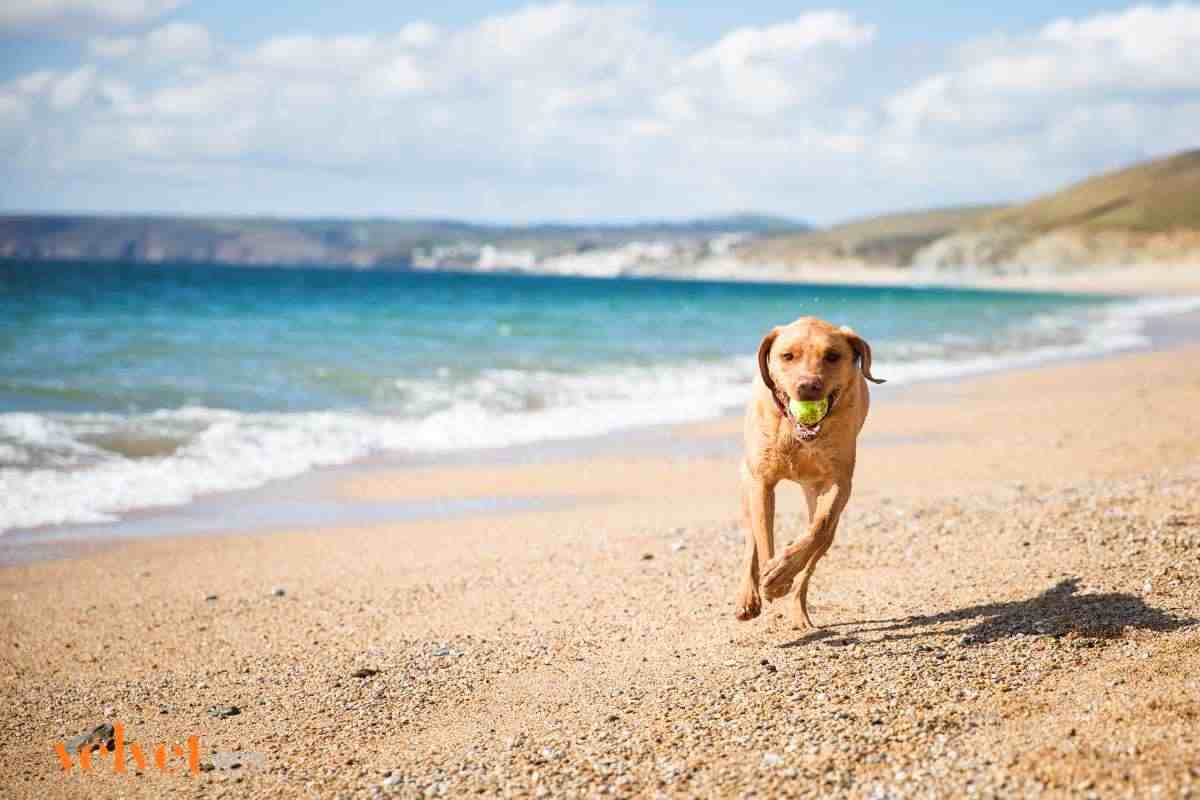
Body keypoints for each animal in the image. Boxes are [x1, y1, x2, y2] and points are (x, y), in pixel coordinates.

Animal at [729, 316, 883, 623]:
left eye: (832, 356)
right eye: (787, 356)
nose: (808, 386)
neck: (796, 432)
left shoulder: (839, 483)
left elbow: (819, 527)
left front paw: (782, 572)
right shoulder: (761, 481)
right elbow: (763, 537)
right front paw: (773, 577)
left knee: (812, 558)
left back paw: (799, 612)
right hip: (747, 483)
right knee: (751, 539)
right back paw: (748, 596)